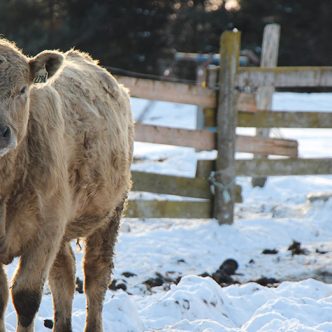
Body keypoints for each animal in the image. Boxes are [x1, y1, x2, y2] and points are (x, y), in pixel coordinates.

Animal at [0, 37, 134, 332]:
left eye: (23, 89)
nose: (0, 131)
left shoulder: (44, 233)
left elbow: (25, 298)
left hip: (109, 213)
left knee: (95, 274)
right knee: (64, 273)